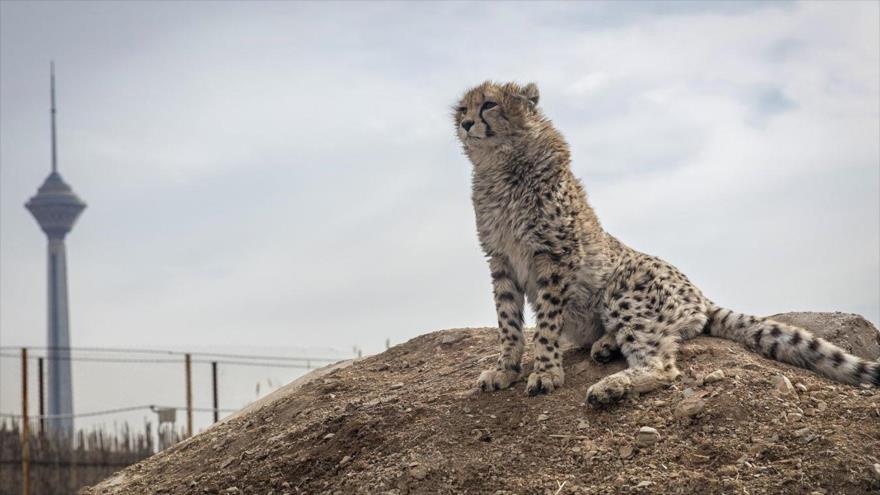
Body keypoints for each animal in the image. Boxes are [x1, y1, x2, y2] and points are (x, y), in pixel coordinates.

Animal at [452, 80, 880, 405]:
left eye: (489, 104)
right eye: (461, 109)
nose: (467, 123)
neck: (502, 166)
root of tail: (699, 294)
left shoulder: (555, 257)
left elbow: (545, 323)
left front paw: (544, 372)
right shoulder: (501, 260)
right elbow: (508, 321)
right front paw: (505, 369)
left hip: (624, 292)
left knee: (664, 363)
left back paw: (611, 385)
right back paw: (605, 348)